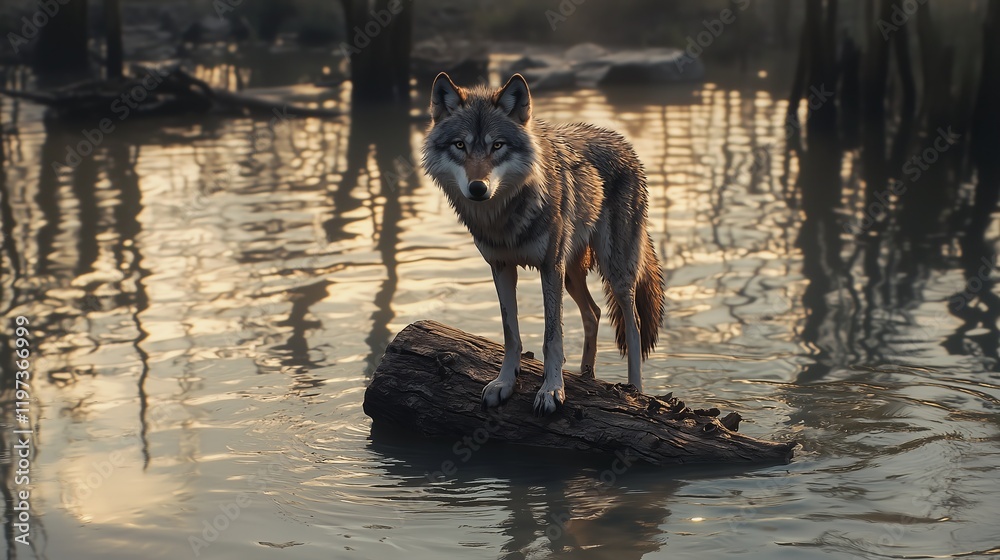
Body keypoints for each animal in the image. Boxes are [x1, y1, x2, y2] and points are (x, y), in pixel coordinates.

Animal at [421, 72, 664, 416]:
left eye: (497, 145)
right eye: (460, 145)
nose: (478, 188)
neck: (504, 217)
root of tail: (622, 141)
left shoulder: (550, 267)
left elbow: (552, 337)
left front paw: (551, 390)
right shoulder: (501, 267)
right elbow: (511, 334)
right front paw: (505, 383)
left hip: (615, 272)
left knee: (633, 326)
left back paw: (634, 390)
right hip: (572, 274)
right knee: (593, 313)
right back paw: (587, 377)